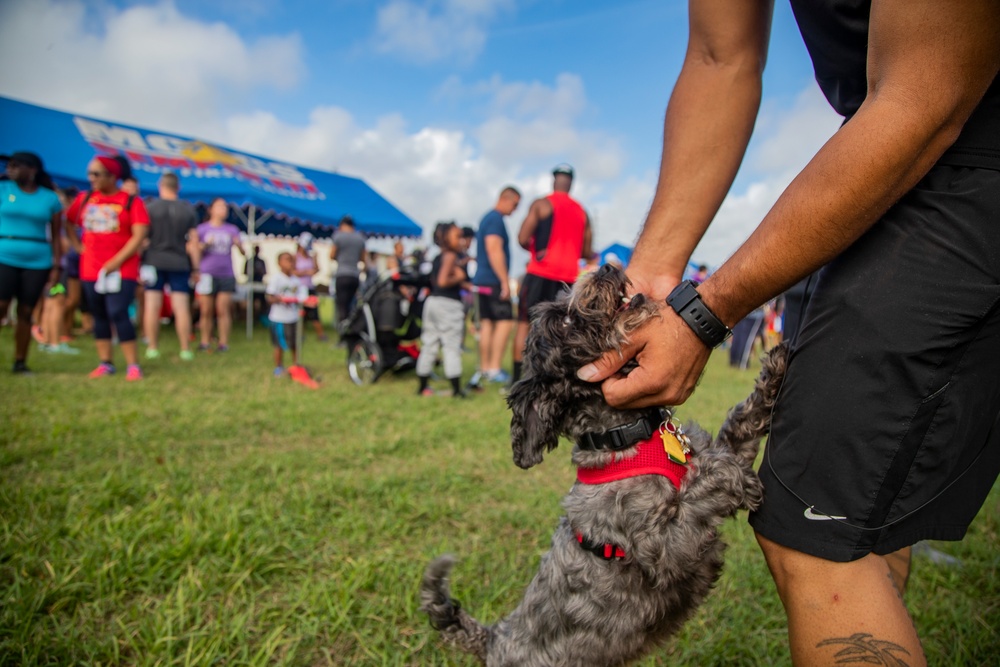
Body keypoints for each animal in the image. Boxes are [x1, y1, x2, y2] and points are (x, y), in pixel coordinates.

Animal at [418, 266, 784, 667]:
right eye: (563, 322)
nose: (606, 268)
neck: (629, 436)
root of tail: (494, 639)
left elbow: (738, 426)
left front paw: (773, 375)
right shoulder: (666, 547)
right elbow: (699, 493)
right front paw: (732, 478)